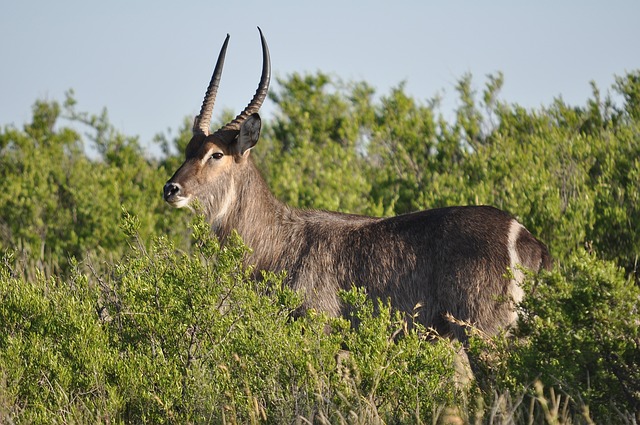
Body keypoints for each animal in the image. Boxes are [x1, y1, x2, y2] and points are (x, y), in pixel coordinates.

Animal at [164, 29, 552, 342]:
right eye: (187, 149)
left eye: (216, 154)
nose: (171, 189)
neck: (279, 239)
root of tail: (524, 235)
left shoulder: (318, 327)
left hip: (484, 332)